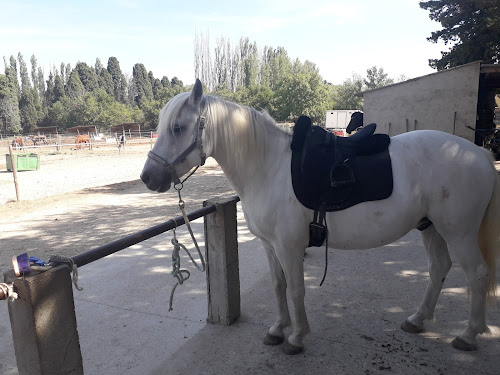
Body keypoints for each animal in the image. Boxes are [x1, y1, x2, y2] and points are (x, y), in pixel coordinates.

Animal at [142, 79, 500, 356]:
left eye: (177, 127)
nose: (147, 177)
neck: (268, 167)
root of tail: (479, 153)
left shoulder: (289, 247)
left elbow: (296, 289)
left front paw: (297, 337)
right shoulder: (270, 246)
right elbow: (278, 286)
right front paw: (278, 329)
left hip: (459, 233)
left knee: (478, 274)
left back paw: (468, 335)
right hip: (431, 228)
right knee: (439, 268)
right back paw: (417, 319)